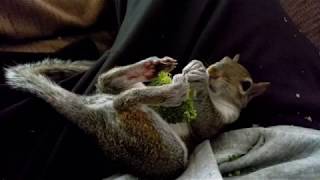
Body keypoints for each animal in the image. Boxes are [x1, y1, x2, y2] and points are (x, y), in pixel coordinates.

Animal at [4, 55, 270, 179]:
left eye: (246, 85)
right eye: (222, 60)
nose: (212, 71)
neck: (218, 97)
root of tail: (95, 118)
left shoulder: (219, 123)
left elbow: (203, 125)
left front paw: (199, 80)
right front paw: (196, 67)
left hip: (155, 144)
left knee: (122, 103)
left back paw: (170, 91)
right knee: (108, 81)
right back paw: (150, 67)